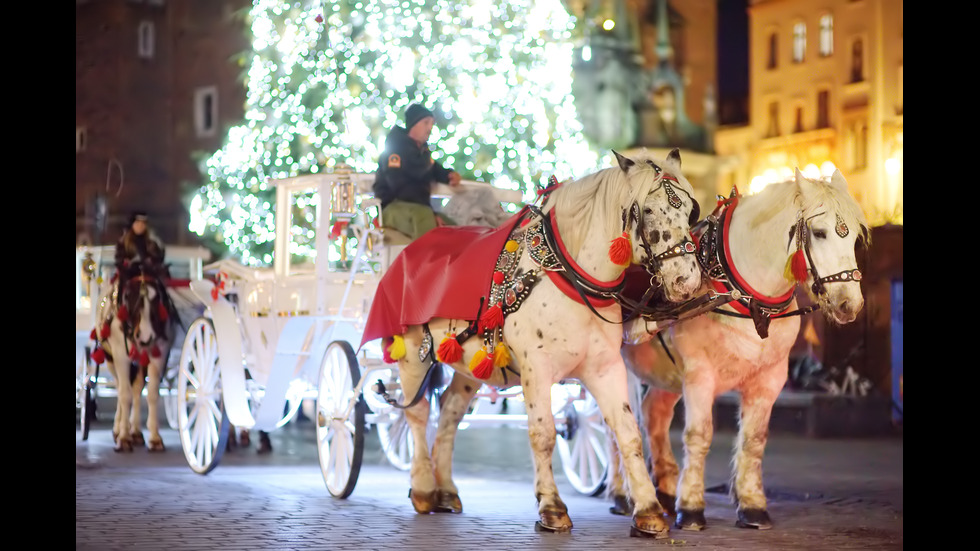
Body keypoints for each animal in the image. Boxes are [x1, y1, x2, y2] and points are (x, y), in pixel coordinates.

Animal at [90, 272, 176, 452]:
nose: (146, 337)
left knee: (136, 388)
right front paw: (123, 437)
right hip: (111, 359)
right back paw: (118, 428)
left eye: (157, 298)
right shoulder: (121, 356)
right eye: (129, 296)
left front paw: (155, 438)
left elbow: (151, 394)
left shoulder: (159, 356)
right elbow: (124, 395)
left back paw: (135, 431)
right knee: (120, 388)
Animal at [360, 149, 704, 536]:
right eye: (646, 210)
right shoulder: (536, 369)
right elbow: (543, 434)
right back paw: (422, 488)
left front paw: (648, 511)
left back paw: (446, 489)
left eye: (690, 210)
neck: (571, 276)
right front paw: (551, 508)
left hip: (470, 363)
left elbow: (628, 432)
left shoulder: (605, 367)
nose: (687, 281)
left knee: (449, 411)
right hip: (412, 355)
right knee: (416, 415)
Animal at [608, 167, 868, 532]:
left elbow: (754, 439)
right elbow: (699, 435)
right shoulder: (699, 375)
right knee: (613, 428)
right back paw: (621, 494)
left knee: (654, 418)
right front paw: (691, 508)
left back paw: (664, 489)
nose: (850, 304)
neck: (745, 295)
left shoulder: (770, 378)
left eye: (855, 237)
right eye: (819, 233)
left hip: (665, 374)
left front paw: (752, 504)